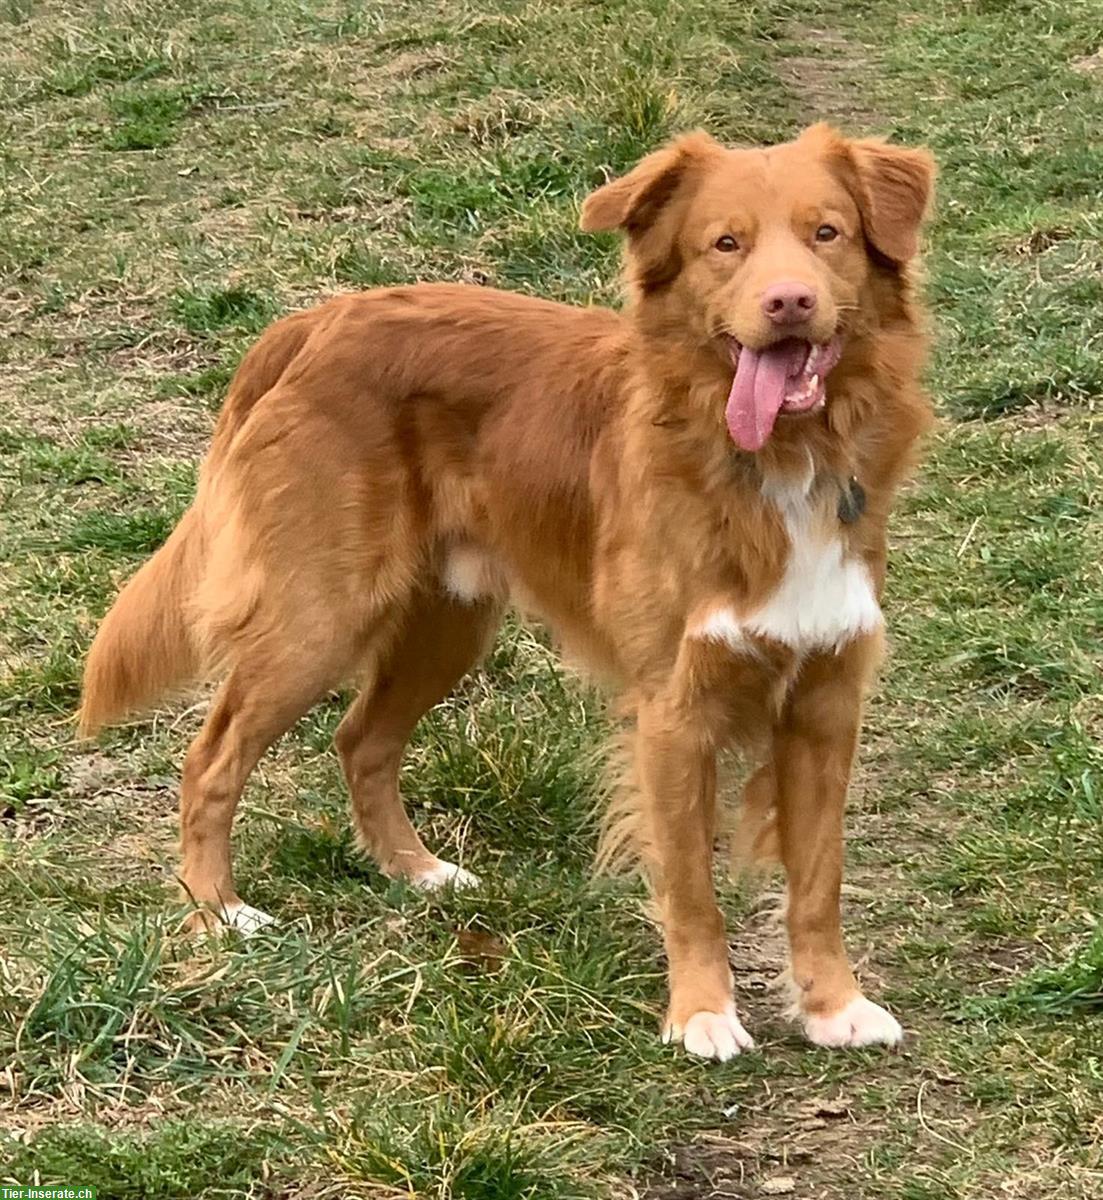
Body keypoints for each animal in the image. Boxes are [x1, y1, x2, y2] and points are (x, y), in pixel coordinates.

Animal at [82, 121, 936, 1060]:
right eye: (725, 245)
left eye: (827, 234)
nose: (788, 302)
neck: (776, 459)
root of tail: (316, 320)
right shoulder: (672, 711)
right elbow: (691, 889)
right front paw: (701, 1013)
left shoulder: (826, 697)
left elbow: (818, 877)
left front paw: (831, 1005)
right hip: (317, 618)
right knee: (211, 759)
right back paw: (218, 911)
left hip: (448, 624)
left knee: (361, 740)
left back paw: (416, 871)